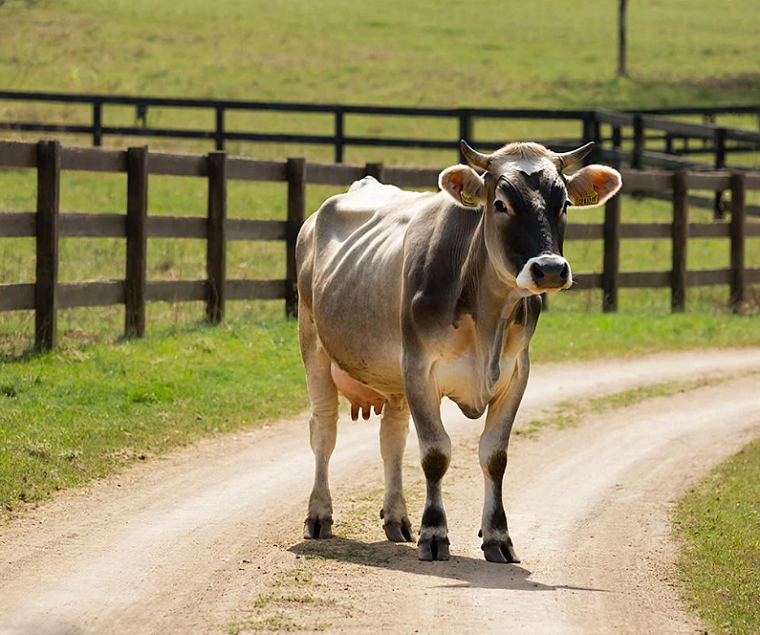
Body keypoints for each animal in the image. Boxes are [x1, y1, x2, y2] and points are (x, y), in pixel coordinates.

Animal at [296, 140, 621, 562]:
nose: (549, 269)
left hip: (393, 373)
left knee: (392, 438)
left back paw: (396, 518)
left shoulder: (515, 374)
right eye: (499, 203)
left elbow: (494, 455)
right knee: (324, 430)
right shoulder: (420, 370)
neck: (487, 321)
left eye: (564, 202)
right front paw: (434, 534)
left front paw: (497, 536)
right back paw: (319, 515)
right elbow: (435, 453)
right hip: (313, 344)